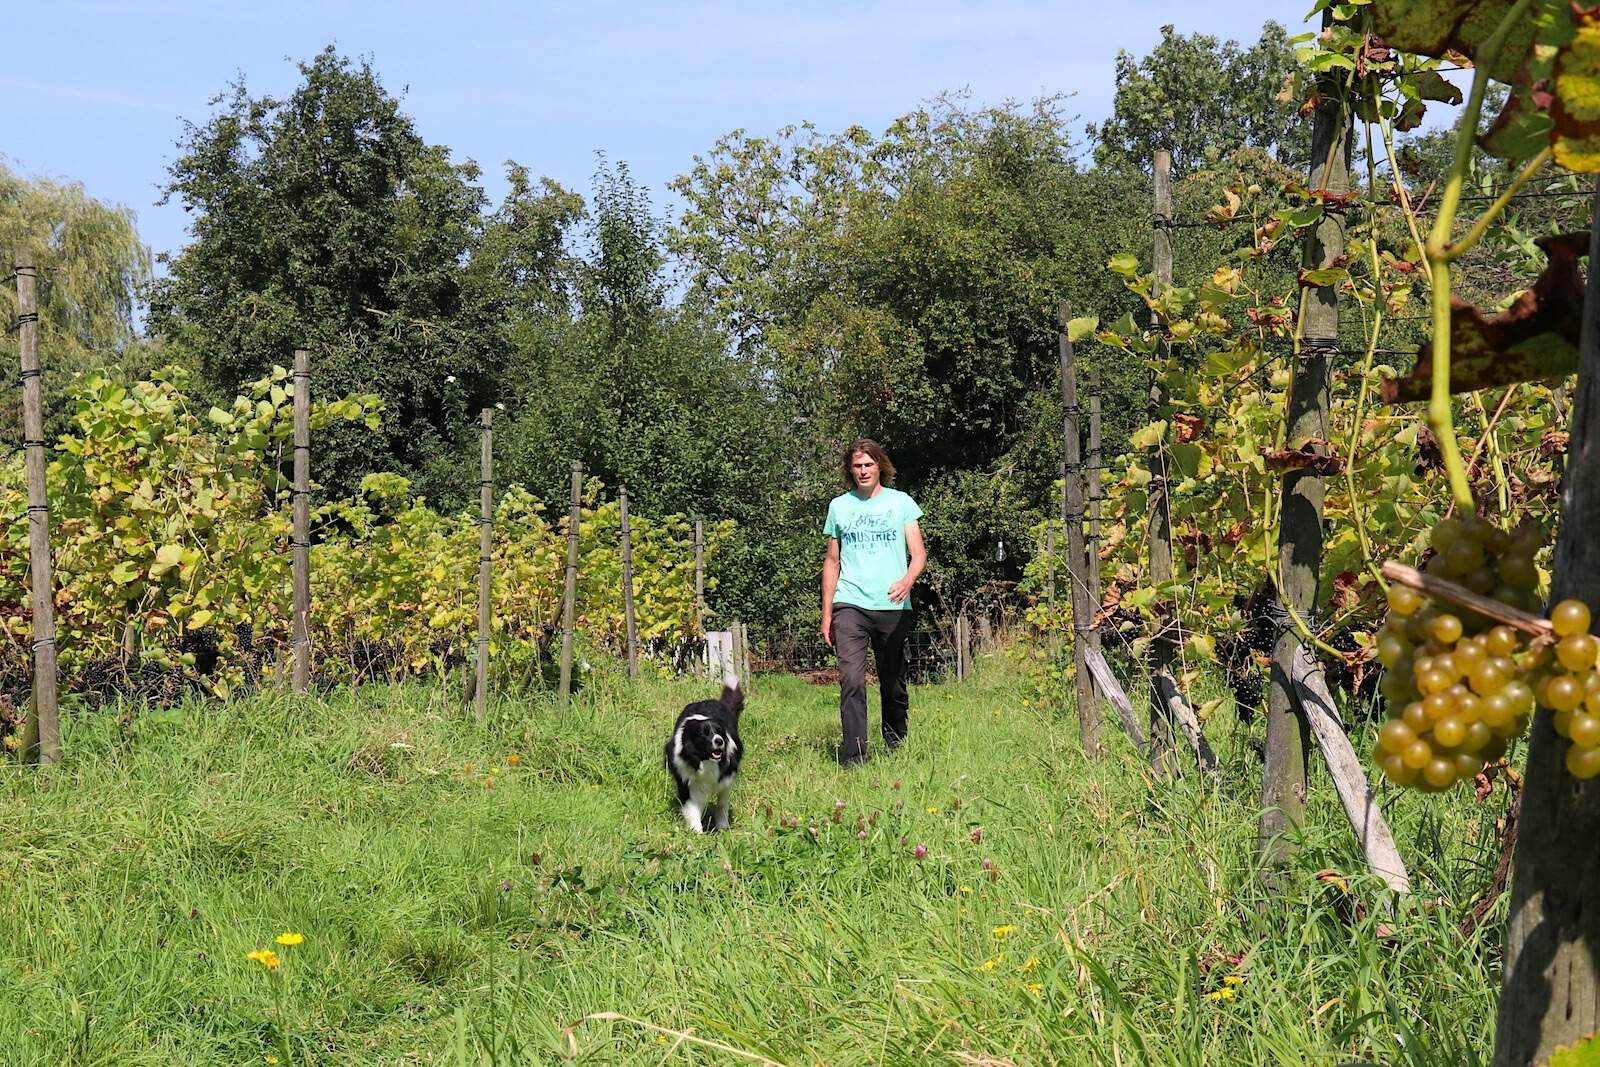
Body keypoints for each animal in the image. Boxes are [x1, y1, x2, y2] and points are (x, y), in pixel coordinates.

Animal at [662, 668, 742, 831]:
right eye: (703, 734)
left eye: (719, 731)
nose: (719, 741)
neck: (704, 762)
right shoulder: (687, 780)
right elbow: (692, 808)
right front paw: (696, 832)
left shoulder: (726, 779)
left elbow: (722, 803)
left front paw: (722, 827)